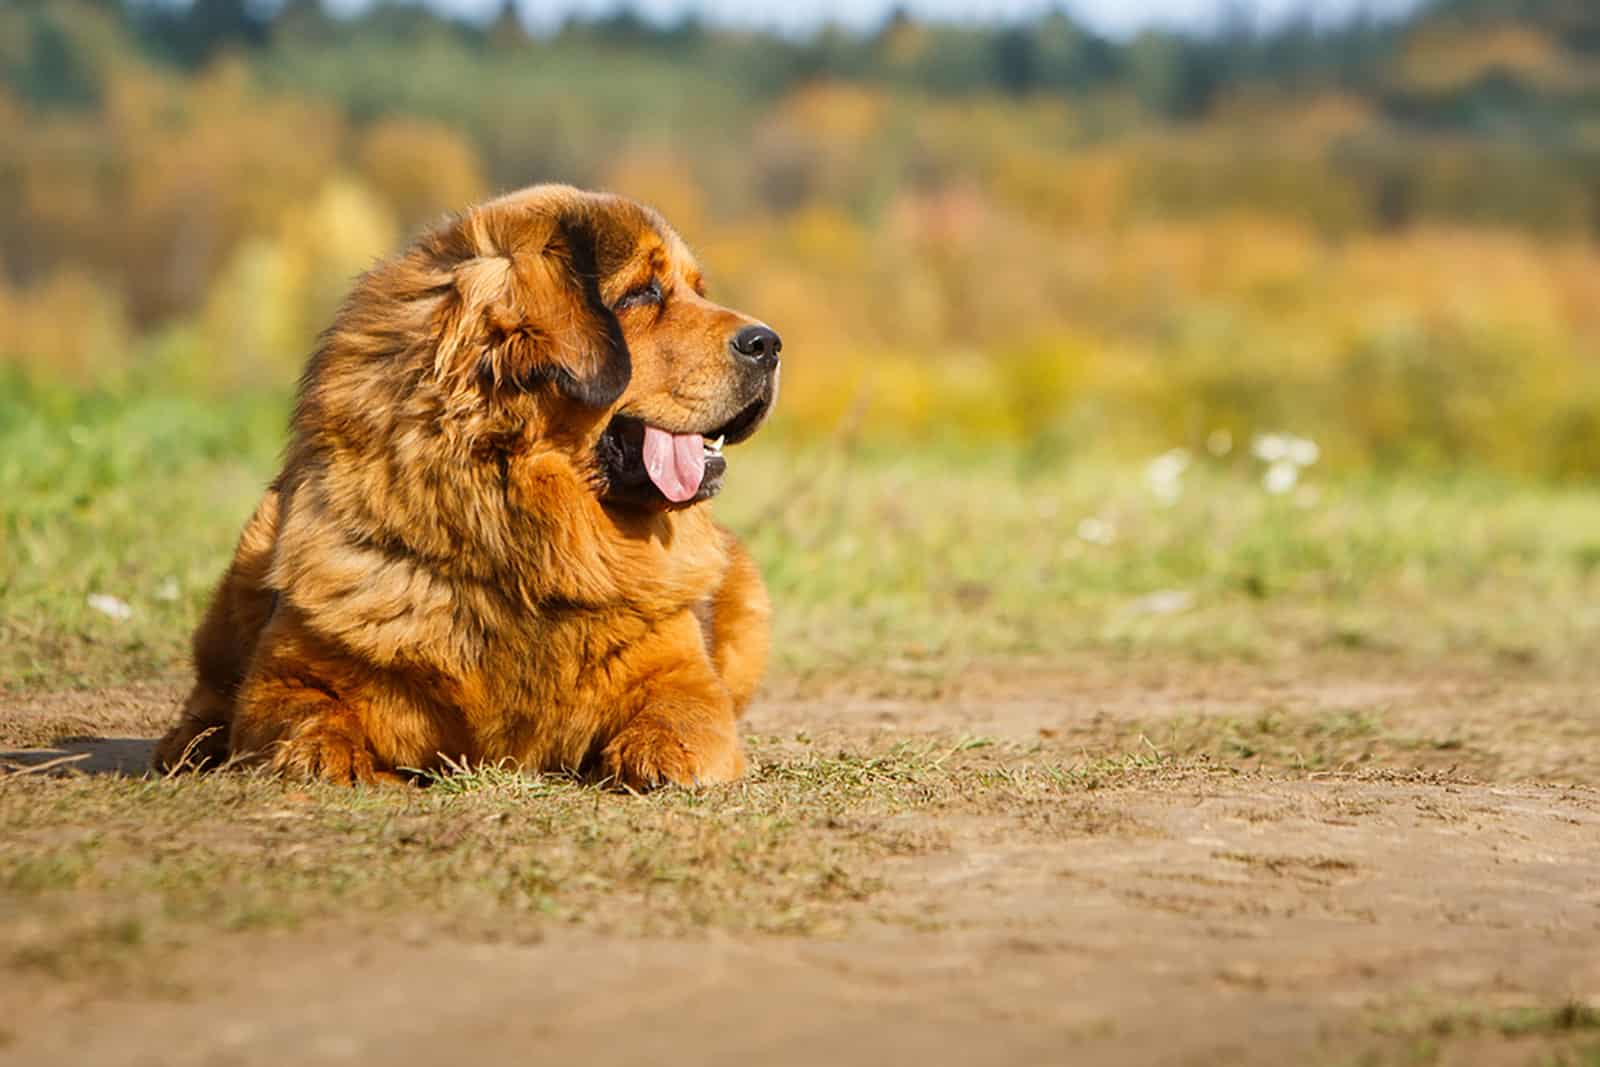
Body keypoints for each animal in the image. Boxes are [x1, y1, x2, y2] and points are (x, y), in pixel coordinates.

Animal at [151, 183, 780, 790]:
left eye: (697, 290)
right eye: (643, 293)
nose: (769, 344)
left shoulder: (681, 674)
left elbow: (683, 714)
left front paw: (657, 753)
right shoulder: (288, 675)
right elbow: (302, 712)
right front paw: (327, 756)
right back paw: (191, 743)